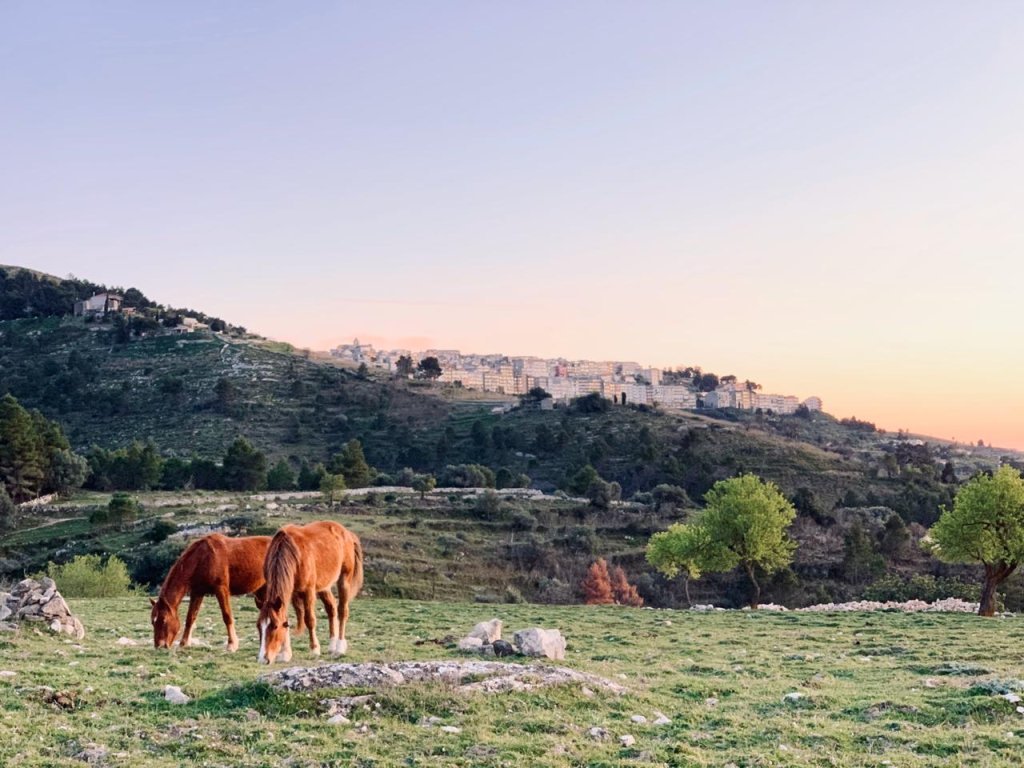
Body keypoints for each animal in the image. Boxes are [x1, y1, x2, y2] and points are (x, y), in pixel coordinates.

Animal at [150, 536, 303, 655]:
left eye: (163, 620)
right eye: (153, 621)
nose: (159, 646)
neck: (202, 557)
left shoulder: (221, 589)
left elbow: (227, 616)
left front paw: (232, 645)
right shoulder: (197, 592)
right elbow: (190, 617)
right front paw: (184, 643)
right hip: (262, 590)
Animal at [256, 520, 364, 663]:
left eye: (274, 626)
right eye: (258, 626)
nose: (263, 659)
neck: (292, 553)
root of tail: (347, 533)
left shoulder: (308, 591)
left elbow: (309, 620)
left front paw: (314, 649)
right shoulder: (289, 593)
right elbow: (285, 619)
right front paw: (285, 653)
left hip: (344, 578)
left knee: (342, 611)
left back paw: (339, 647)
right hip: (324, 586)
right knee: (331, 608)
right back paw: (332, 645)